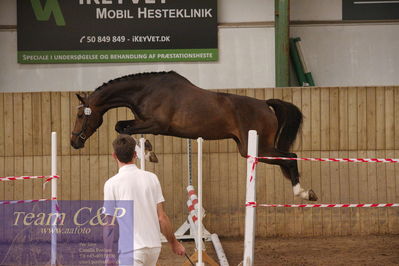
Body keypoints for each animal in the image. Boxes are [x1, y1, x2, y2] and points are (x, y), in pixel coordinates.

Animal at [69, 71, 318, 201]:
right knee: (285, 159)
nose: (73, 142)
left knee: (291, 157)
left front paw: (148, 154)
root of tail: (265, 105)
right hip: (248, 149)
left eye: (81, 114)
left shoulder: (157, 123)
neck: (145, 91)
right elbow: (123, 127)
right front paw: (148, 151)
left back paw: (303, 193)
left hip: (258, 148)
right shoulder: (144, 122)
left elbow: (122, 128)